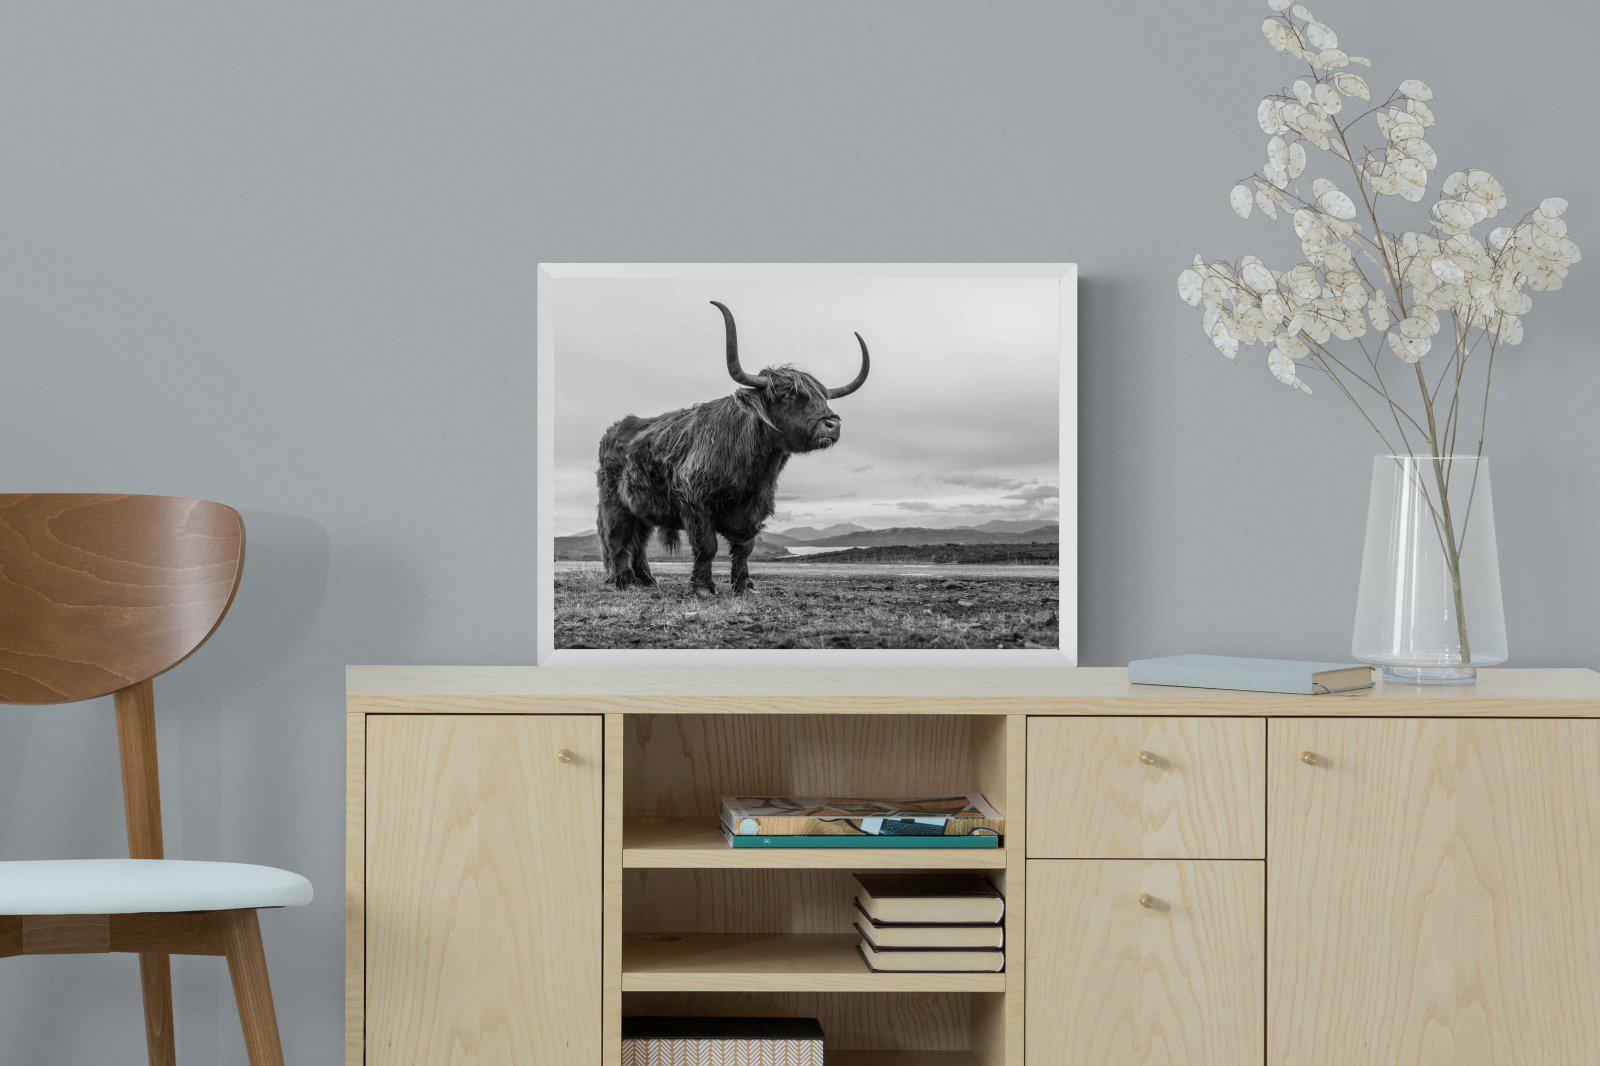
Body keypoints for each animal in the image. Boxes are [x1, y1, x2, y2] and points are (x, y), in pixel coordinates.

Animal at [595, 300, 870, 597]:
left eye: (824, 398)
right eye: (788, 395)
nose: (832, 424)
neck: (753, 469)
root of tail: (615, 430)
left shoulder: (753, 508)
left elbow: (743, 548)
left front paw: (744, 585)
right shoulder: (695, 502)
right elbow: (707, 546)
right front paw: (703, 587)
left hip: (641, 509)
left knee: (639, 541)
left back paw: (646, 579)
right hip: (615, 503)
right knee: (618, 538)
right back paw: (624, 580)